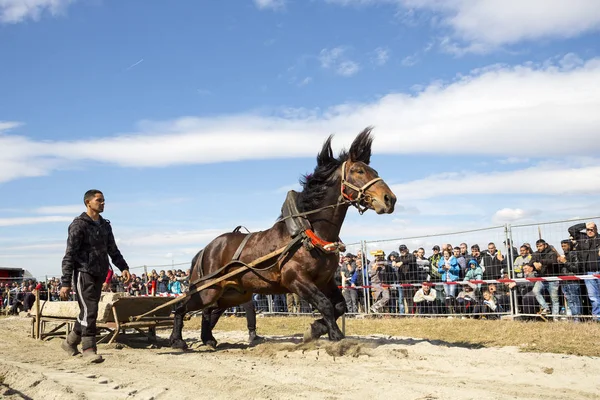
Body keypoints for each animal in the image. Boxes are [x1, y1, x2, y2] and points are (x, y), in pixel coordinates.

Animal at [166, 127, 396, 346]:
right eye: (359, 170)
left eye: (374, 170)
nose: (389, 199)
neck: (306, 234)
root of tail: (204, 251)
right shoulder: (296, 280)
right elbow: (326, 305)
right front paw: (334, 335)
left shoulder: (325, 280)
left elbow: (339, 306)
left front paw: (316, 329)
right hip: (208, 290)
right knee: (181, 308)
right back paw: (177, 340)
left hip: (231, 294)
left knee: (210, 312)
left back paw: (208, 339)